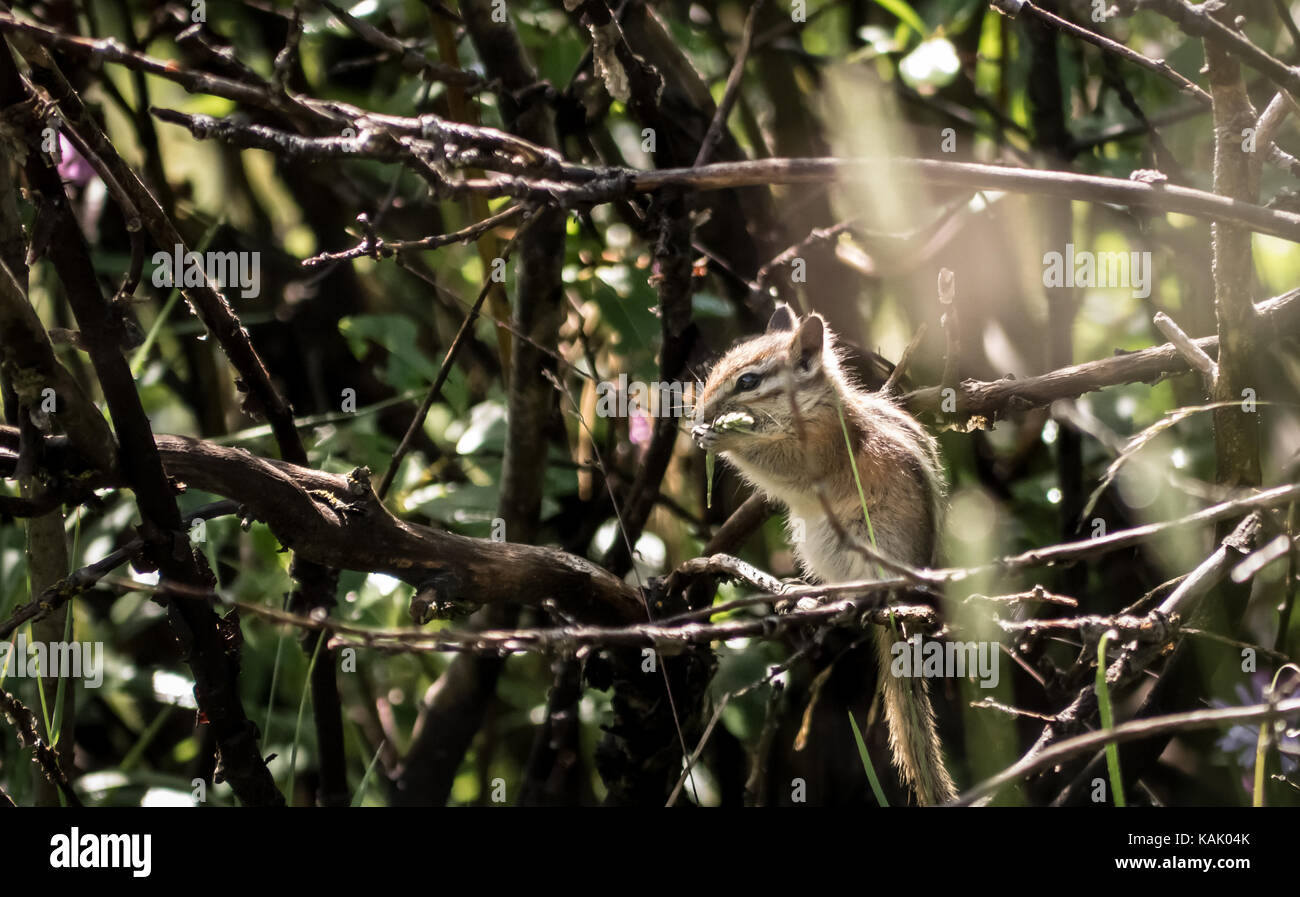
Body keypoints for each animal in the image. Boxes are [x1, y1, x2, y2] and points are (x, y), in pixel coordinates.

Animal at [690, 305, 957, 806]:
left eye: (748, 381)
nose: (701, 412)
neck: (809, 407)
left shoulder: (819, 447)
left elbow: (781, 465)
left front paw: (722, 439)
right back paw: (804, 591)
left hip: (869, 541)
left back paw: (863, 598)